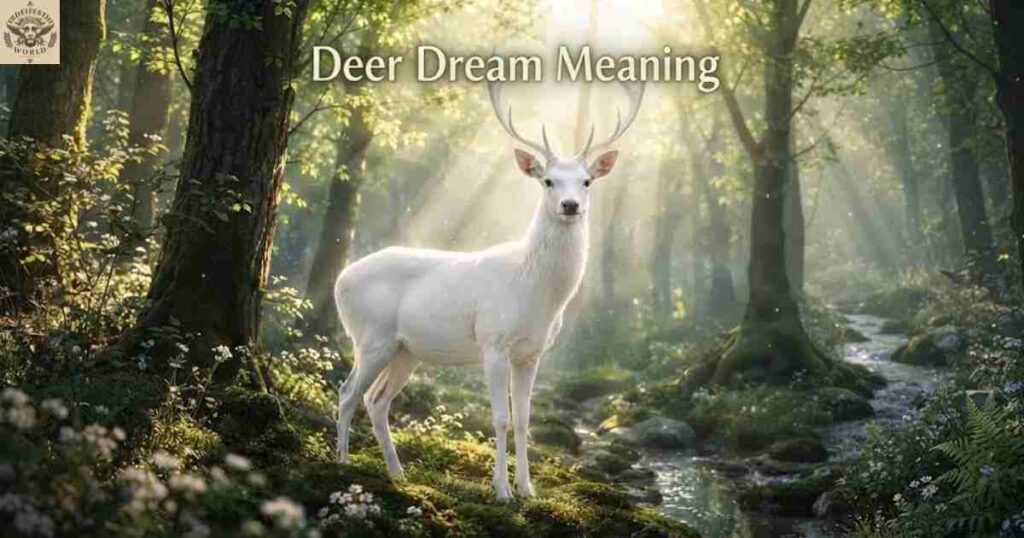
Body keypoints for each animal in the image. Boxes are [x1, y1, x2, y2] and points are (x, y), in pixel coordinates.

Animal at [332, 81, 644, 501]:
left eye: (587, 181)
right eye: (547, 180)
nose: (570, 205)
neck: (538, 293)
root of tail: (340, 279)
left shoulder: (532, 353)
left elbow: (525, 419)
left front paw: (528, 489)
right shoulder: (493, 341)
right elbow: (499, 419)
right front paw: (501, 491)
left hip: (405, 350)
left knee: (376, 400)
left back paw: (398, 473)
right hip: (371, 337)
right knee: (348, 392)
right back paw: (342, 461)